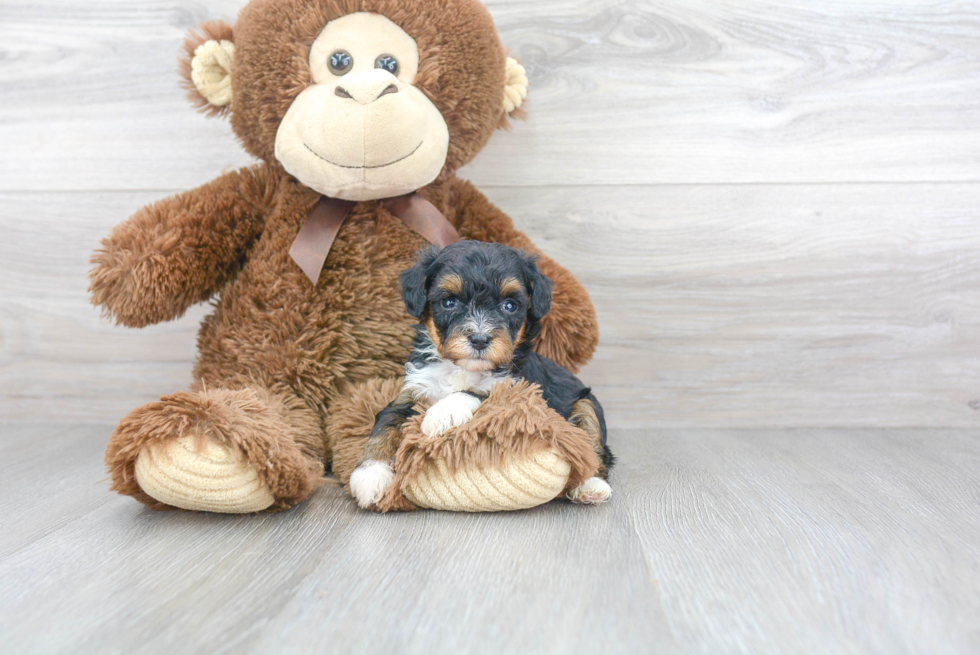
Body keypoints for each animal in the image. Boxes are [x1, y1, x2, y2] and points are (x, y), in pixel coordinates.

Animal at [348, 242, 616, 512]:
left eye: (509, 305)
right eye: (449, 302)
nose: (479, 339)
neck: (464, 368)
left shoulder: (520, 392)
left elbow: (479, 392)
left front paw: (442, 413)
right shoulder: (412, 391)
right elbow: (386, 423)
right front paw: (371, 475)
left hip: (587, 402)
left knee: (592, 447)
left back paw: (591, 486)